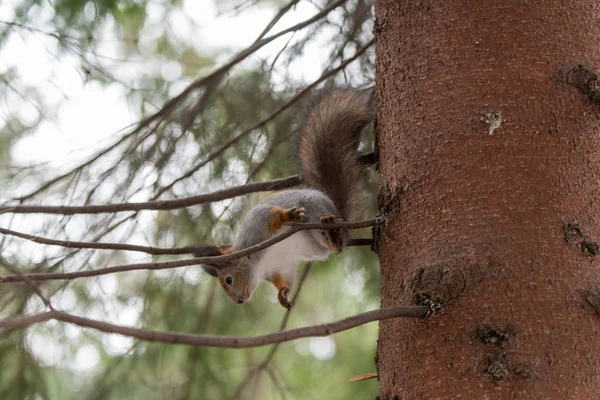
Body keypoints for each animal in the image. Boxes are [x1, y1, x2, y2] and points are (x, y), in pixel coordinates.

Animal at [202, 90, 370, 310]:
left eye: (228, 279)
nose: (239, 301)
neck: (257, 263)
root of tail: (338, 212)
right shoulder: (279, 266)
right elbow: (284, 280)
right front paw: (282, 295)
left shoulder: (257, 225)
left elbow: (272, 215)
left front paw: (288, 216)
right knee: (334, 250)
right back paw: (333, 242)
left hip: (314, 207)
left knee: (333, 238)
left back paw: (332, 235)